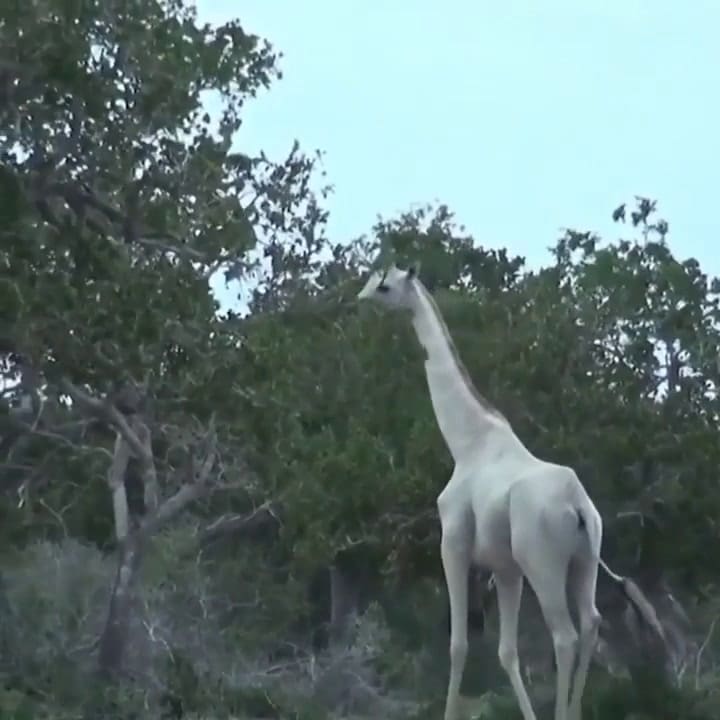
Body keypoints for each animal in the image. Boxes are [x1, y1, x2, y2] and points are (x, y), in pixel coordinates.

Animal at [356, 264, 666, 720]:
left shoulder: (453, 545)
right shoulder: (505, 568)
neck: (467, 442)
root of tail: (577, 507)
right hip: (584, 560)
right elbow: (506, 651)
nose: (360, 301)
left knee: (565, 636)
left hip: (544, 563)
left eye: (385, 285)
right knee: (591, 622)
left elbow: (459, 644)